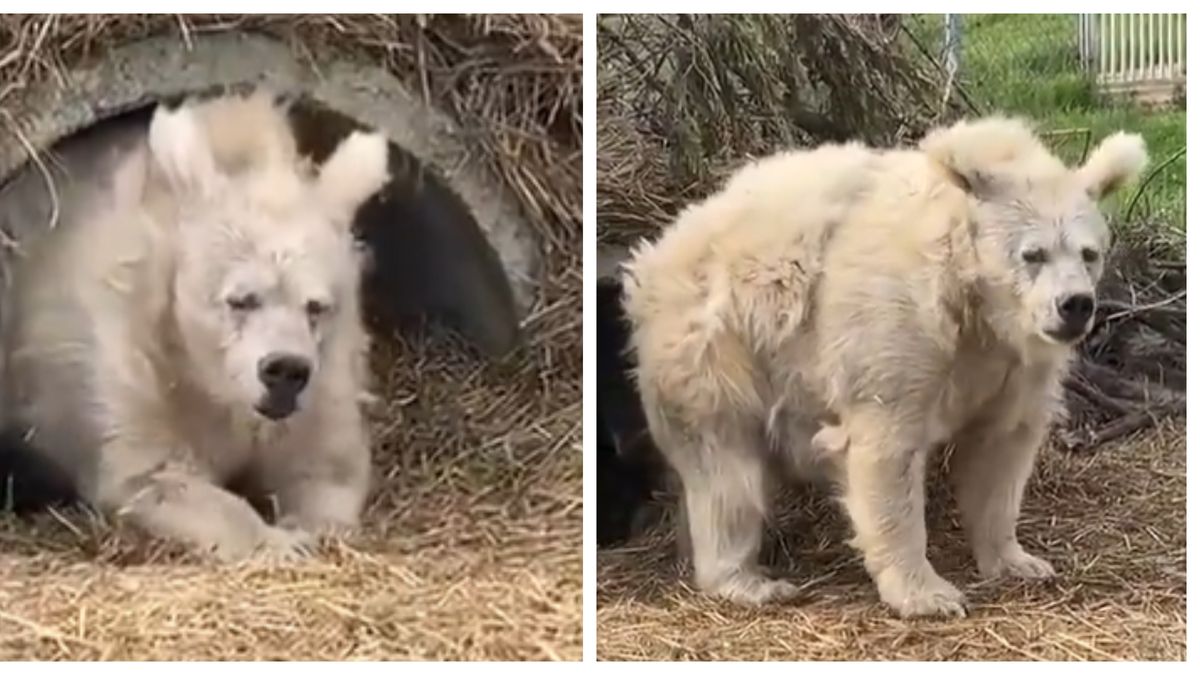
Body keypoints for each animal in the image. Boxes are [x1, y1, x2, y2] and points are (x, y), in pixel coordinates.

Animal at [0, 91, 388, 559]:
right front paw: (280, 541)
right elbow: (154, 474)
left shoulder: (326, 375)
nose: (285, 371)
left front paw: (309, 529)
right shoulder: (129, 365)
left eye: (316, 306)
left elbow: (327, 466)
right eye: (241, 300)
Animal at [624, 114, 1147, 614]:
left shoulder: (1011, 364)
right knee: (726, 470)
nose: (1075, 305)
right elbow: (886, 449)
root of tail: (658, 251)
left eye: (1089, 252)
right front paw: (928, 594)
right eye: (1032, 253)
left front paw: (1019, 561)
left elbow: (1001, 450)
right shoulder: (896, 328)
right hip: (718, 345)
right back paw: (748, 581)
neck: (973, 303)